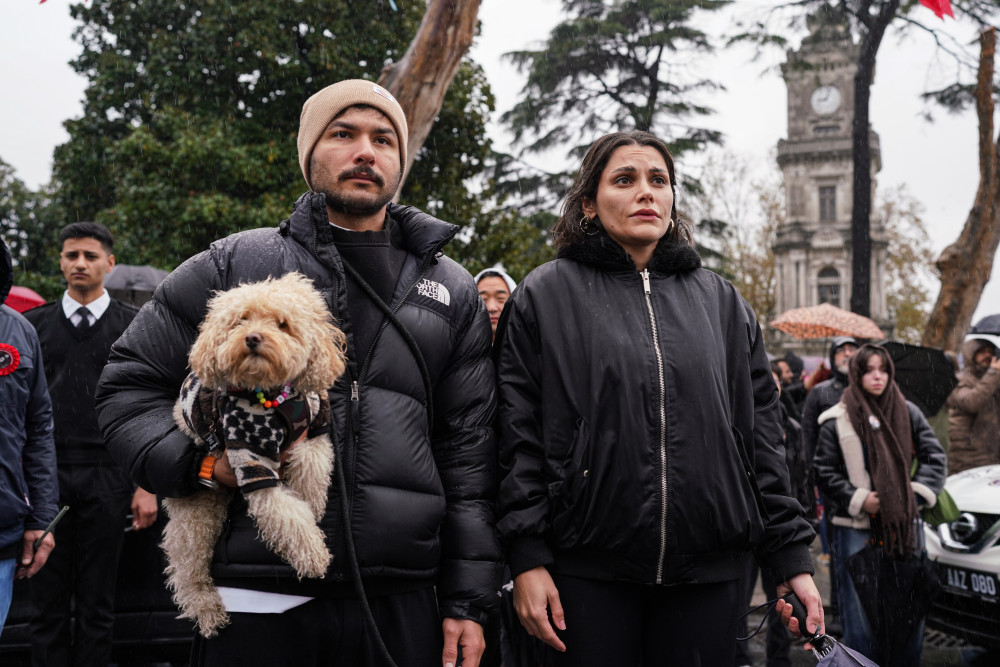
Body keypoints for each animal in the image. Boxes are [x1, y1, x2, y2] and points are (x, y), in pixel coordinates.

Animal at [163, 272, 348, 636]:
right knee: (187, 568)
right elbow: (288, 516)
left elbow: (311, 470)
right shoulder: (252, 462)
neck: (274, 396)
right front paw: (314, 555)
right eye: (241, 319)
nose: (252, 337)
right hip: (195, 513)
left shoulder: (314, 431)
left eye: (283, 323)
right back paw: (206, 609)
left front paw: (312, 503)